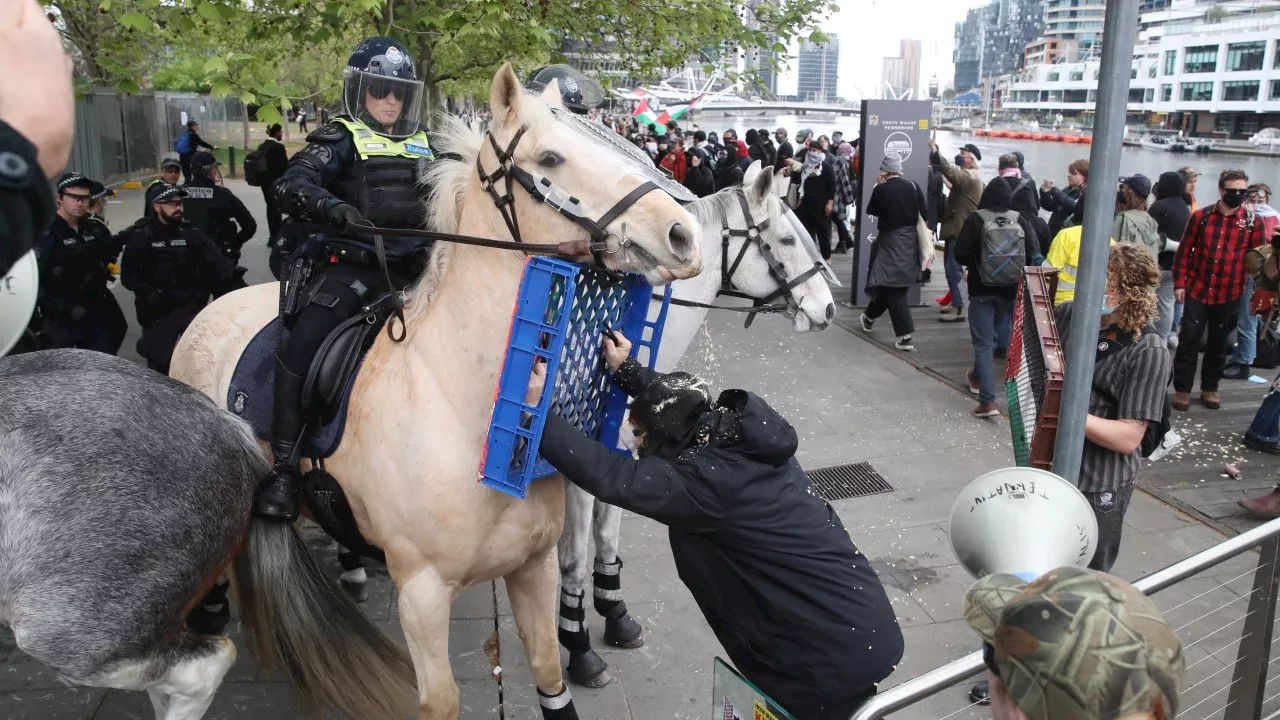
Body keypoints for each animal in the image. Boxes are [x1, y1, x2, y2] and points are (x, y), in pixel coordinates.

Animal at [166, 63, 706, 717]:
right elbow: (441, 700)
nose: (683, 232)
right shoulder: (421, 593)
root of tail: (210, 311)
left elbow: (550, 668)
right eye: (551, 157)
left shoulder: (532, 567)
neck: (462, 407)